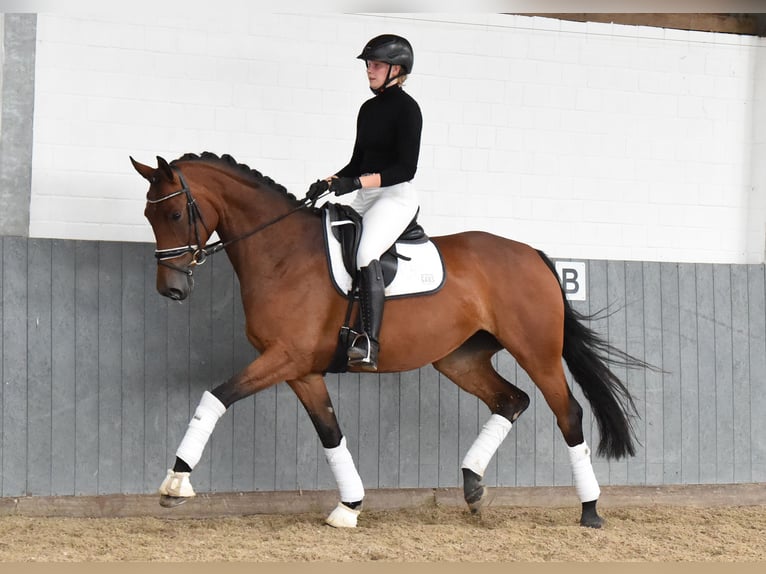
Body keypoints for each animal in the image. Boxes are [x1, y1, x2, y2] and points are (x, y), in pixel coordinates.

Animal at [130, 152, 648, 532]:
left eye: (173, 212)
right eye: (148, 215)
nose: (171, 290)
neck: (282, 253)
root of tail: (533, 254)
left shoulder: (284, 358)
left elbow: (215, 397)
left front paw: (175, 483)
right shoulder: (302, 369)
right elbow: (331, 433)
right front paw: (349, 507)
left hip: (537, 352)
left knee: (568, 413)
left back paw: (590, 511)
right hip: (459, 359)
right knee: (511, 400)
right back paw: (473, 489)